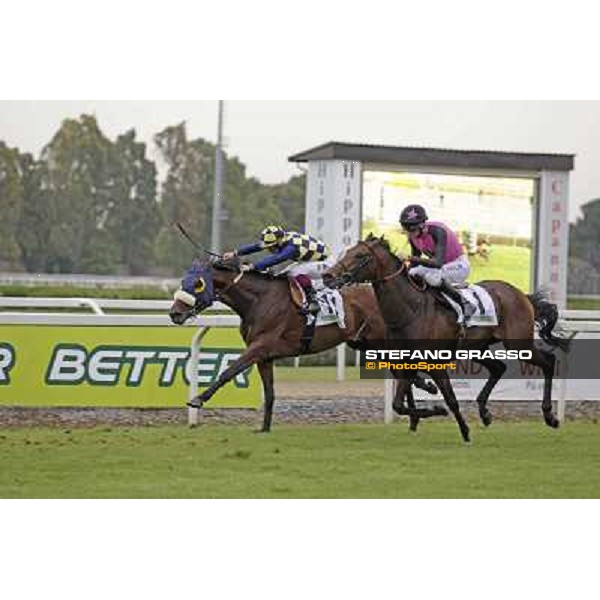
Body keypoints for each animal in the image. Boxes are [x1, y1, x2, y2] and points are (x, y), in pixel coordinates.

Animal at [168, 258, 440, 432]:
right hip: (365, 344)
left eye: (198, 283)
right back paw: (416, 414)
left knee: (405, 371)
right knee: (403, 373)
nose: (175, 314)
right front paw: (264, 428)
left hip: (381, 343)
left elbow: (229, 371)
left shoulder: (259, 346)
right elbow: (270, 393)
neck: (258, 300)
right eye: (183, 281)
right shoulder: (265, 356)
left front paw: (198, 399)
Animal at [322, 232, 568, 442]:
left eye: (360, 255)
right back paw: (485, 411)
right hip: (476, 348)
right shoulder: (405, 362)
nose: (328, 276)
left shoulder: (435, 363)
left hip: (518, 344)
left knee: (548, 361)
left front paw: (464, 431)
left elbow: (450, 399)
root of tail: (520, 294)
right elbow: (398, 404)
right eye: (348, 252)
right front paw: (432, 410)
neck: (411, 310)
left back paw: (550, 416)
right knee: (499, 367)